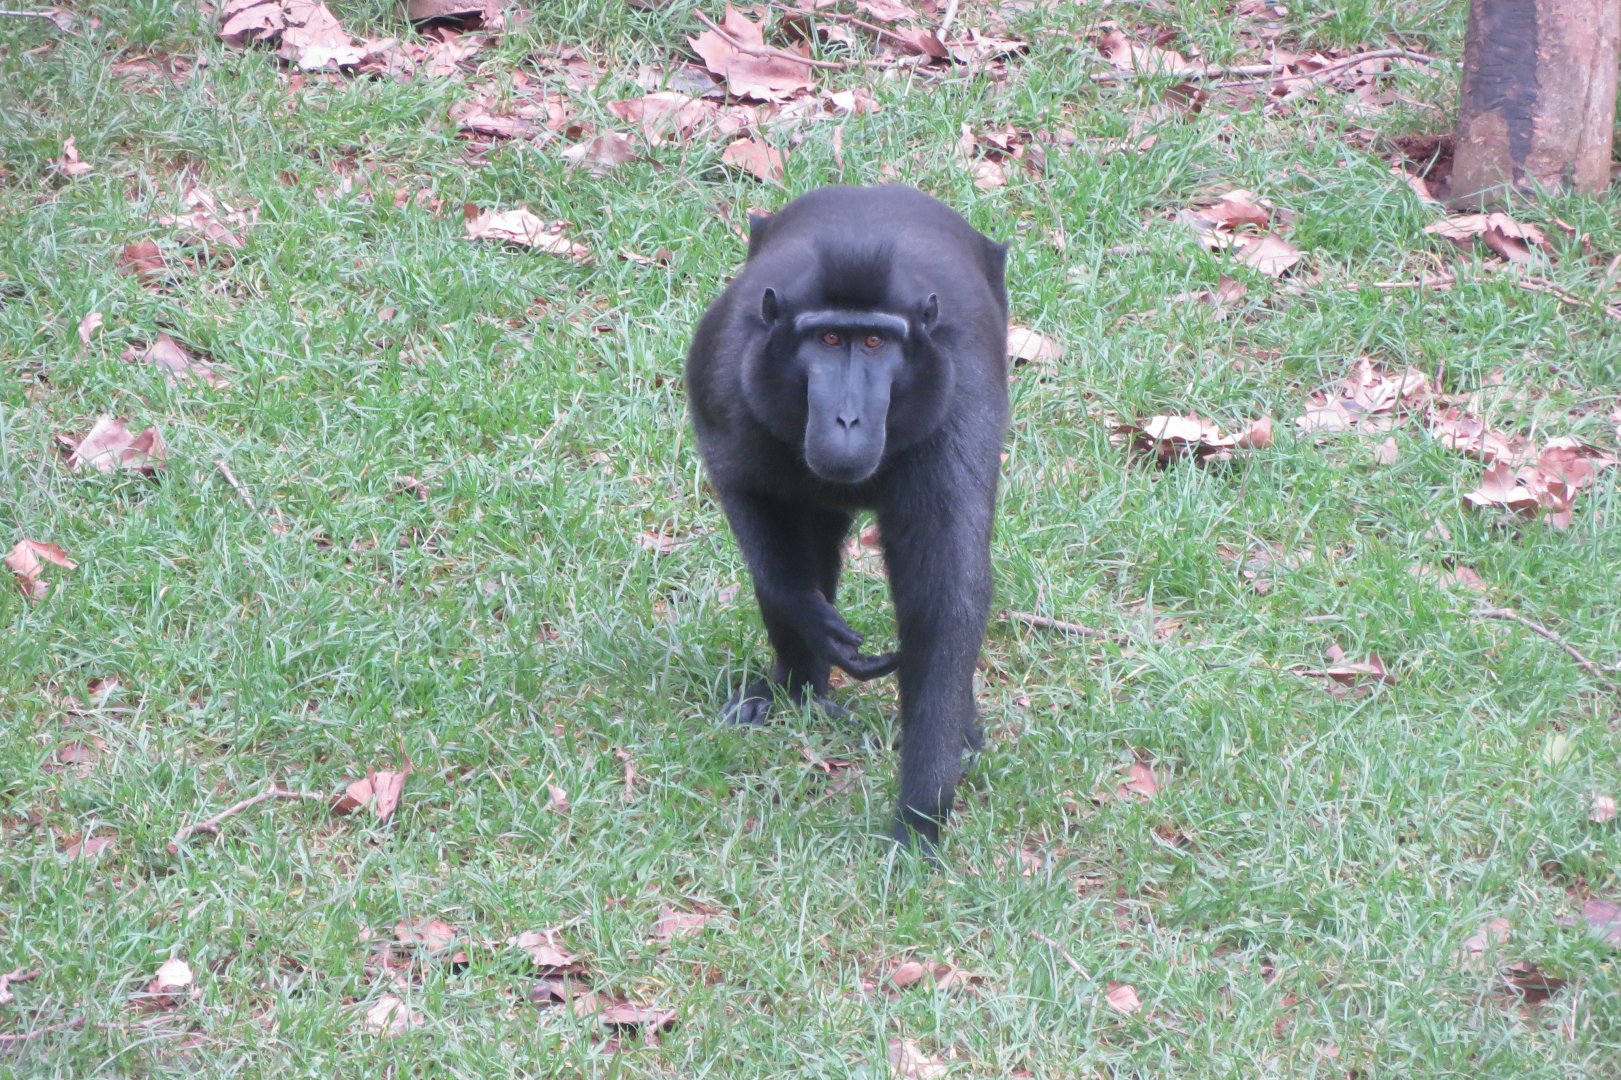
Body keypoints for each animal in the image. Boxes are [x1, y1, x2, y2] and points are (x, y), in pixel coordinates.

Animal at [685, 185, 1009, 851]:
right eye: (830, 341)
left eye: (876, 343)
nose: (848, 419)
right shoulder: (728, 372)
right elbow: (746, 493)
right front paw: (809, 617)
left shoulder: (962, 399)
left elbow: (945, 595)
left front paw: (921, 817)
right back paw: (793, 689)